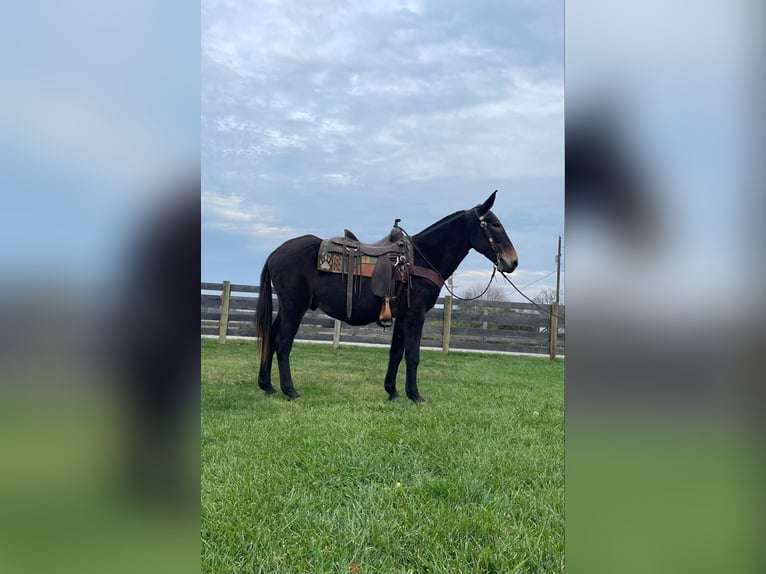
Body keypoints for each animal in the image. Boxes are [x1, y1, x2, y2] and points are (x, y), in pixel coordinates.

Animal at [255, 191, 518, 402]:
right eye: (494, 224)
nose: (512, 261)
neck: (420, 259)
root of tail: (275, 253)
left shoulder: (401, 318)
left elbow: (396, 354)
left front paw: (392, 391)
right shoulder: (415, 317)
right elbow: (412, 356)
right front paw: (415, 395)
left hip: (286, 308)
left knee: (271, 338)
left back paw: (267, 386)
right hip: (294, 307)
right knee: (283, 343)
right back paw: (290, 390)